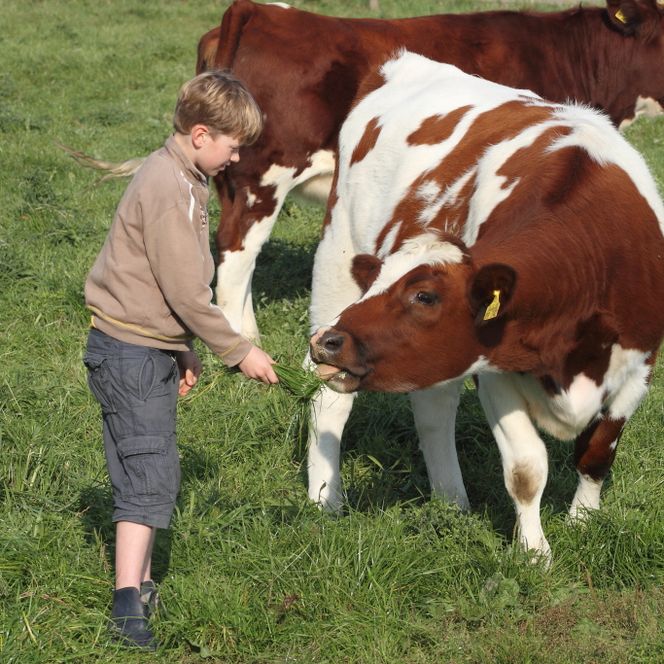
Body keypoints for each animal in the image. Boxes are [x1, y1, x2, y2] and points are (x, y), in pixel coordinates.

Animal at [306, 50, 664, 561]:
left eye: (424, 295)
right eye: (375, 282)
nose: (329, 342)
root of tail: (402, 62)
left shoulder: (640, 367)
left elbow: (597, 453)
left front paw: (583, 521)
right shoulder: (495, 369)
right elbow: (527, 468)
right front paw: (535, 554)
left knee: (432, 407)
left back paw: (452, 502)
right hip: (335, 261)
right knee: (329, 404)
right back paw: (325, 499)